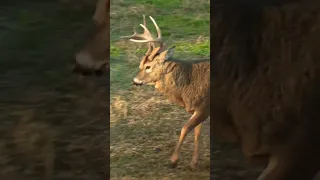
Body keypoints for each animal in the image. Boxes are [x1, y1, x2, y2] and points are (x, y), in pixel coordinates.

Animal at [120, 15, 210, 169]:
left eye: (148, 66)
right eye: (140, 64)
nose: (135, 81)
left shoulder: (205, 106)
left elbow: (185, 128)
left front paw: (174, 160)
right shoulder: (197, 108)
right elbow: (197, 133)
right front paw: (194, 163)